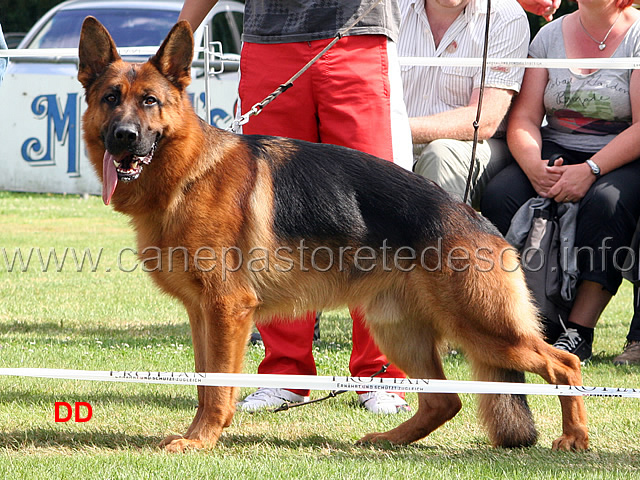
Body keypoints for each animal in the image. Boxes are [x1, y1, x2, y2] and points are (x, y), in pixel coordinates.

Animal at [77, 17, 588, 454]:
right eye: (110, 98)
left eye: (149, 102)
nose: (123, 137)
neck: (188, 172)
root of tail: (478, 220)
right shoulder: (203, 313)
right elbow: (206, 382)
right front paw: (201, 434)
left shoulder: (226, 309)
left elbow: (218, 386)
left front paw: (201, 440)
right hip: (400, 331)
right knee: (446, 400)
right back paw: (389, 440)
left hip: (483, 327)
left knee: (563, 364)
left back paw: (575, 437)